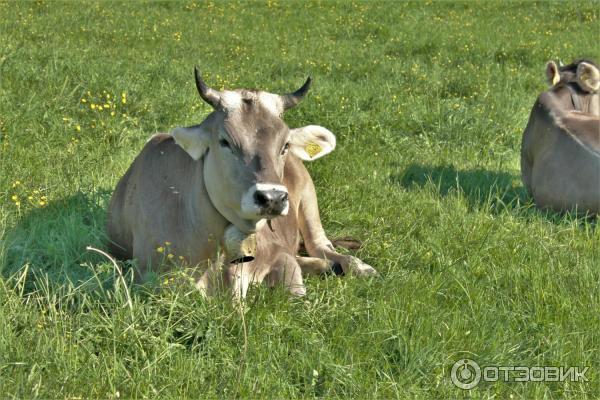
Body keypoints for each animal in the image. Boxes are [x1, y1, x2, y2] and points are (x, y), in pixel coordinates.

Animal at [108, 70, 376, 296]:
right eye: (225, 141)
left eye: (285, 145)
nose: (272, 198)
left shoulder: (280, 254)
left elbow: (295, 294)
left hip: (309, 200)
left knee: (322, 245)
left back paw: (357, 267)